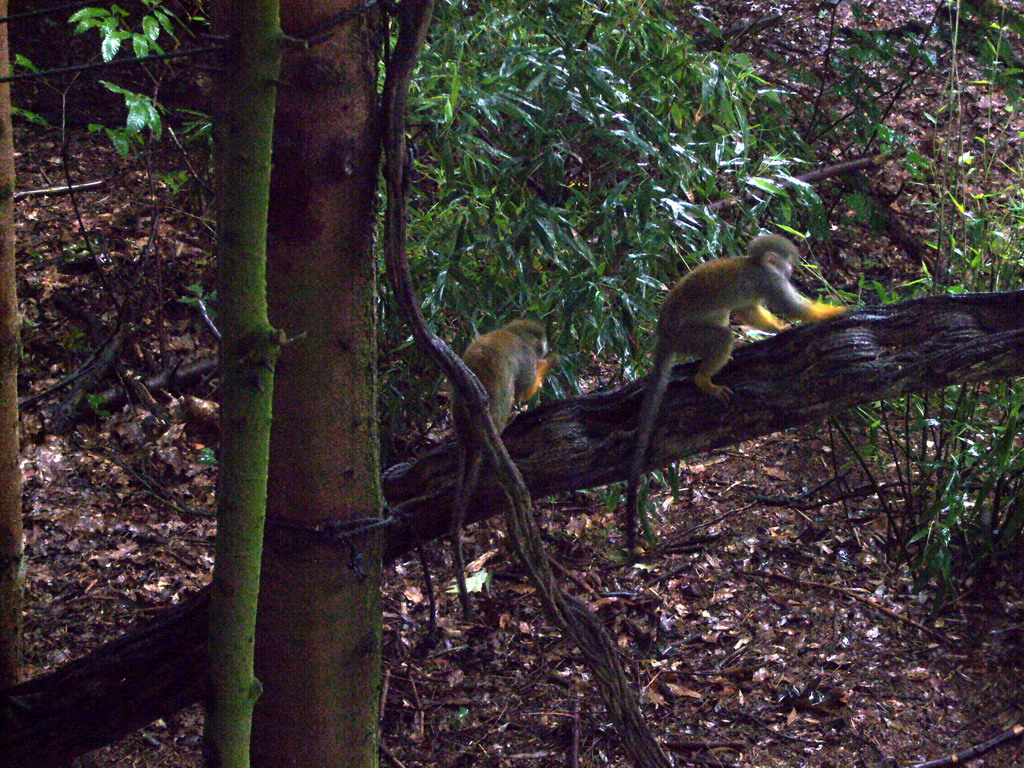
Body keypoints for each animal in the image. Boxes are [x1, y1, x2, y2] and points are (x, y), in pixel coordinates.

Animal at [450, 319, 552, 618]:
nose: (547, 347)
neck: (512, 332)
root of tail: (467, 432)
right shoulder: (527, 356)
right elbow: (526, 386)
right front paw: (546, 366)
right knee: (508, 392)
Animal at [622, 234, 847, 552]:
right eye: (789, 262)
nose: (792, 271)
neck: (755, 263)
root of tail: (663, 336)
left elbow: (748, 310)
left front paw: (779, 326)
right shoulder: (770, 280)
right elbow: (794, 308)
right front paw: (838, 312)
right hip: (687, 335)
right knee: (721, 335)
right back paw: (704, 379)